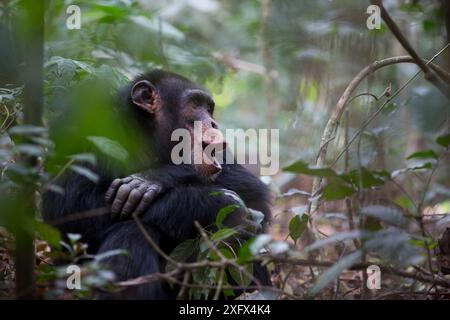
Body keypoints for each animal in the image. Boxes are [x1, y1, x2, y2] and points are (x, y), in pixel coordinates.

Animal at [42, 69, 272, 298]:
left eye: (209, 108)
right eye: (196, 104)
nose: (213, 123)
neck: (146, 134)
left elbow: (253, 194)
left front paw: (153, 178)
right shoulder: (78, 128)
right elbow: (67, 207)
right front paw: (215, 204)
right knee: (132, 231)